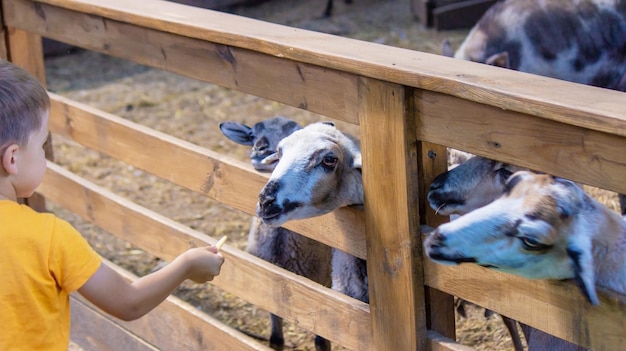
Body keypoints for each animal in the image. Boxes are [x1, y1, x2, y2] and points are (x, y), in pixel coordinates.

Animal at [217, 117, 332, 351]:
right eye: (251, 134)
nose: (261, 150)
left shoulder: (322, 289)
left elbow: (322, 341)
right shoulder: (269, 282)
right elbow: (276, 338)